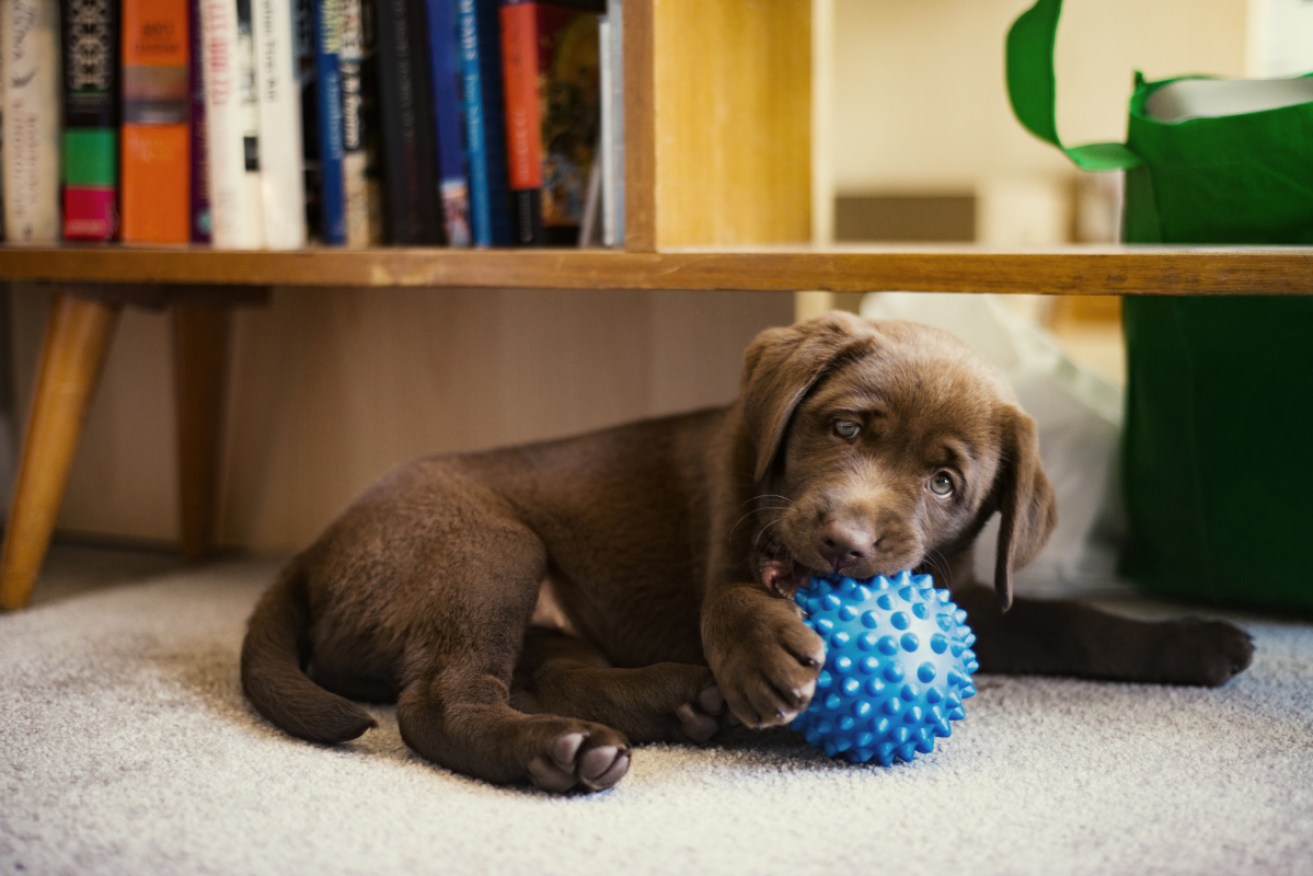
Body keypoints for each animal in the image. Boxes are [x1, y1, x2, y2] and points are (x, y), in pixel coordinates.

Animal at [241, 313, 1255, 793]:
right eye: (845, 428)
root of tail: (316, 545)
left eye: (944, 484)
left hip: (532, 603)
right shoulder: (738, 509)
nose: (845, 542)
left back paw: (676, 702)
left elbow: (1069, 620)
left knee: (551, 667)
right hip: (488, 547)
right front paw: (763, 654)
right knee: (438, 703)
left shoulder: (965, 595)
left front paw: (1196, 640)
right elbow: (728, 587)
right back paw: (563, 751)